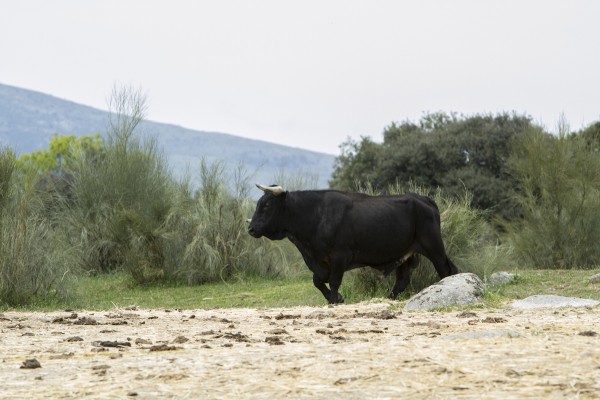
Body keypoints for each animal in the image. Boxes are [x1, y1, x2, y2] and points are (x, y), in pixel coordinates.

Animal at [246, 184, 458, 304]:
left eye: (266, 205)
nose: (251, 229)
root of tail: (423, 198)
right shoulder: (320, 261)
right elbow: (317, 281)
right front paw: (338, 298)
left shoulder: (339, 257)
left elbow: (333, 282)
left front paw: (334, 300)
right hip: (407, 254)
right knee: (402, 280)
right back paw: (387, 299)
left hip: (434, 248)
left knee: (446, 270)